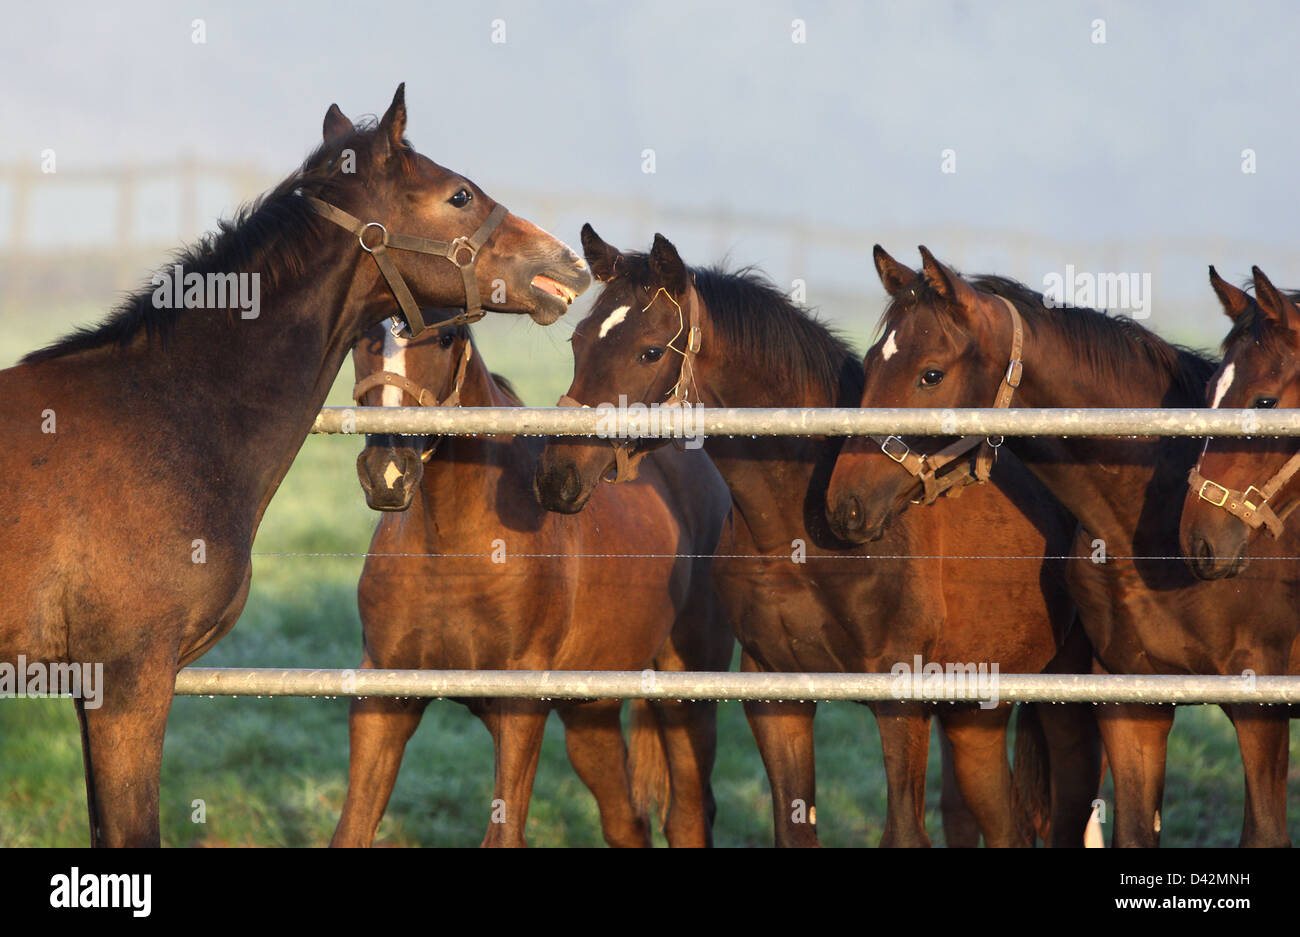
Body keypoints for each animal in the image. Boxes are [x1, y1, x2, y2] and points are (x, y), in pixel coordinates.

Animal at [530, 228, 1097, 847]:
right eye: (579, 342)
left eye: (650, 352)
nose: (557, 476)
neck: (799, 537)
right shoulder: (776, 694)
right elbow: (793, 827)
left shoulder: (900, 702)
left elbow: (904, 831)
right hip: (977, 715)